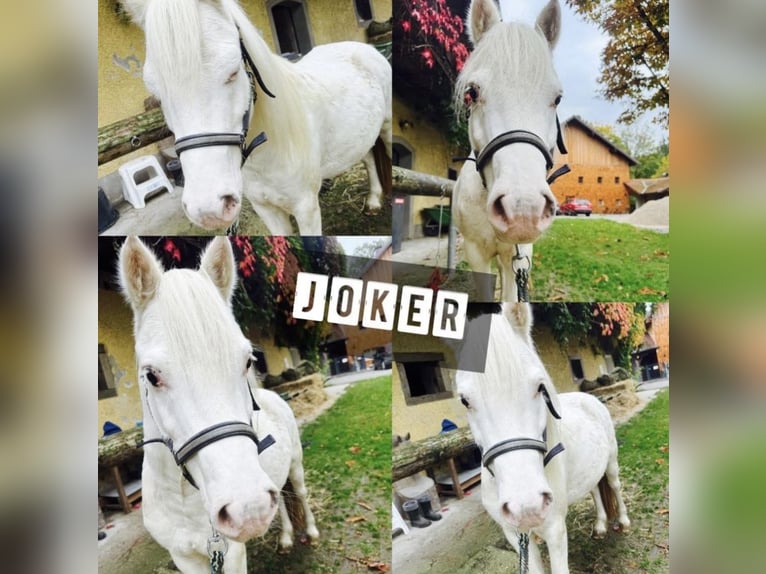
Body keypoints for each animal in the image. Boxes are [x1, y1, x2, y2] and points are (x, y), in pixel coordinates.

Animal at [118, 236, 319, 573]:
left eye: (247, 361)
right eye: (151, 375)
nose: (248, 509)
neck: (184, 500)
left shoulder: (231, 553)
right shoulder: (184, 555)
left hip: (295, 464)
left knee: (300, 494)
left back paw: (312, 533)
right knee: (282, 502)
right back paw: (286, 539)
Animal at [121, 0, 392, 234]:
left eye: (232, 72)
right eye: (157, 93)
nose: (208, 209)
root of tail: (364, 49)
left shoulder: (306, 209)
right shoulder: (266, 209)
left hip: (386, 127)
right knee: (368, 157)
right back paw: (373, 201)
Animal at [456, 303, 630, 574]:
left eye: (540, 387)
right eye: (464, 400)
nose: (526, 507)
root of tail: (590, 398)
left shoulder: (555, 530)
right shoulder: (513, 534)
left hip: (611, 462)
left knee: (614, 486)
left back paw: (623, 521)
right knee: (595, 490)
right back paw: (601, 525)